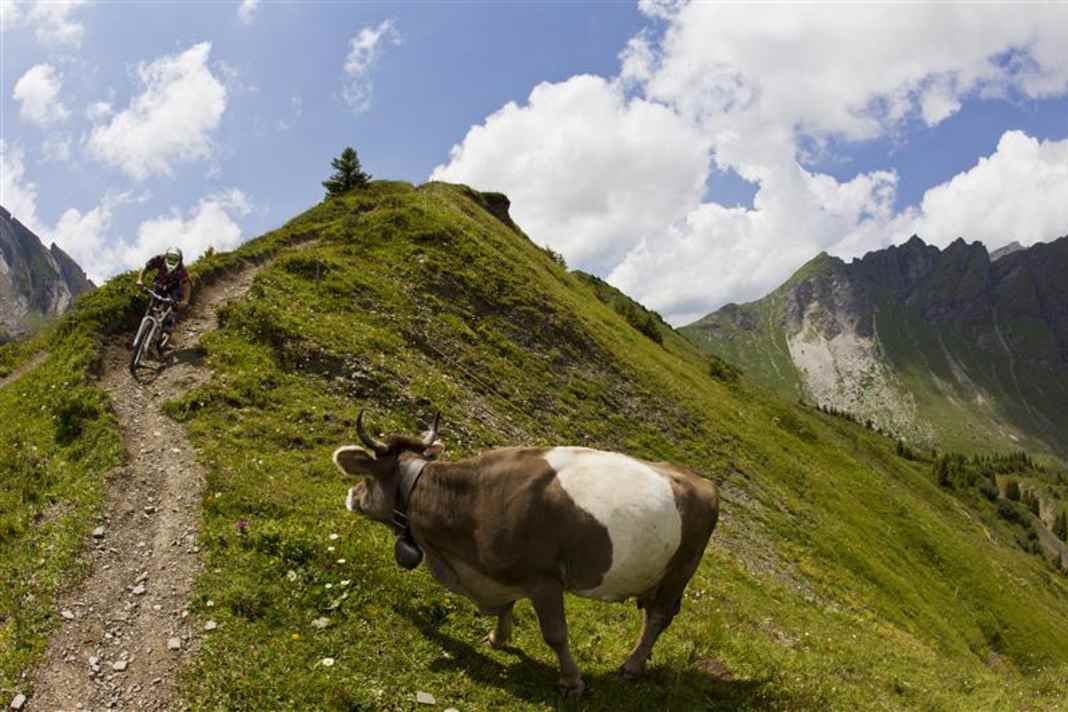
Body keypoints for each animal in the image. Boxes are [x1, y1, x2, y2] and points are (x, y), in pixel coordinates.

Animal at [333, 411, 719, 696]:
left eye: (367, 476)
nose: (351, 496)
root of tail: (699, 480)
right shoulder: (499, 572)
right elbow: (505, 607)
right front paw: (498, 638)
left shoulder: (543, 579)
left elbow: (555, 634)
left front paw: (572, 681)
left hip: (682, 568)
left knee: (658, 616)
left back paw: (632, 666)